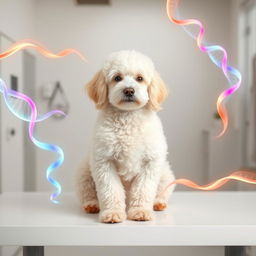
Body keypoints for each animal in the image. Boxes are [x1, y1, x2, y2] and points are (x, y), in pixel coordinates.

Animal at [76, 50, 175, 222]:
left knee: (161, 191)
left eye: (140, 78)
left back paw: (158, 202)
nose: (129, 90)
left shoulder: (150, 162)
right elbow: (110, 190)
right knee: (87, 192)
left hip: (165, 174)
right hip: (84, 172)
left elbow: (143, 190)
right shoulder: (104, 162)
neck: (128, 118)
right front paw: (112, 212)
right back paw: (92, 205)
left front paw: (140, 211)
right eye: (117, 78)